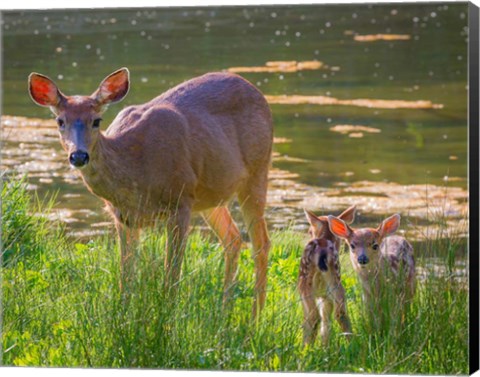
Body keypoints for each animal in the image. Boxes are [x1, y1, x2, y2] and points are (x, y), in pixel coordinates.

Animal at [27, 67, 274, 314]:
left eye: (96, 120)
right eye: (60, 121)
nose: (78, 156)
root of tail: (257, 92)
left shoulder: (180, 200)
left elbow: (171, 273)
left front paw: (167, 317)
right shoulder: (123, 217)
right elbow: (126, 276)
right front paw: (124, 314)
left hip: (257, 170)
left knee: (261, 243)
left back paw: (256, 317)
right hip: (210, 195)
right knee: (233, 238)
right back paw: (224, 313)